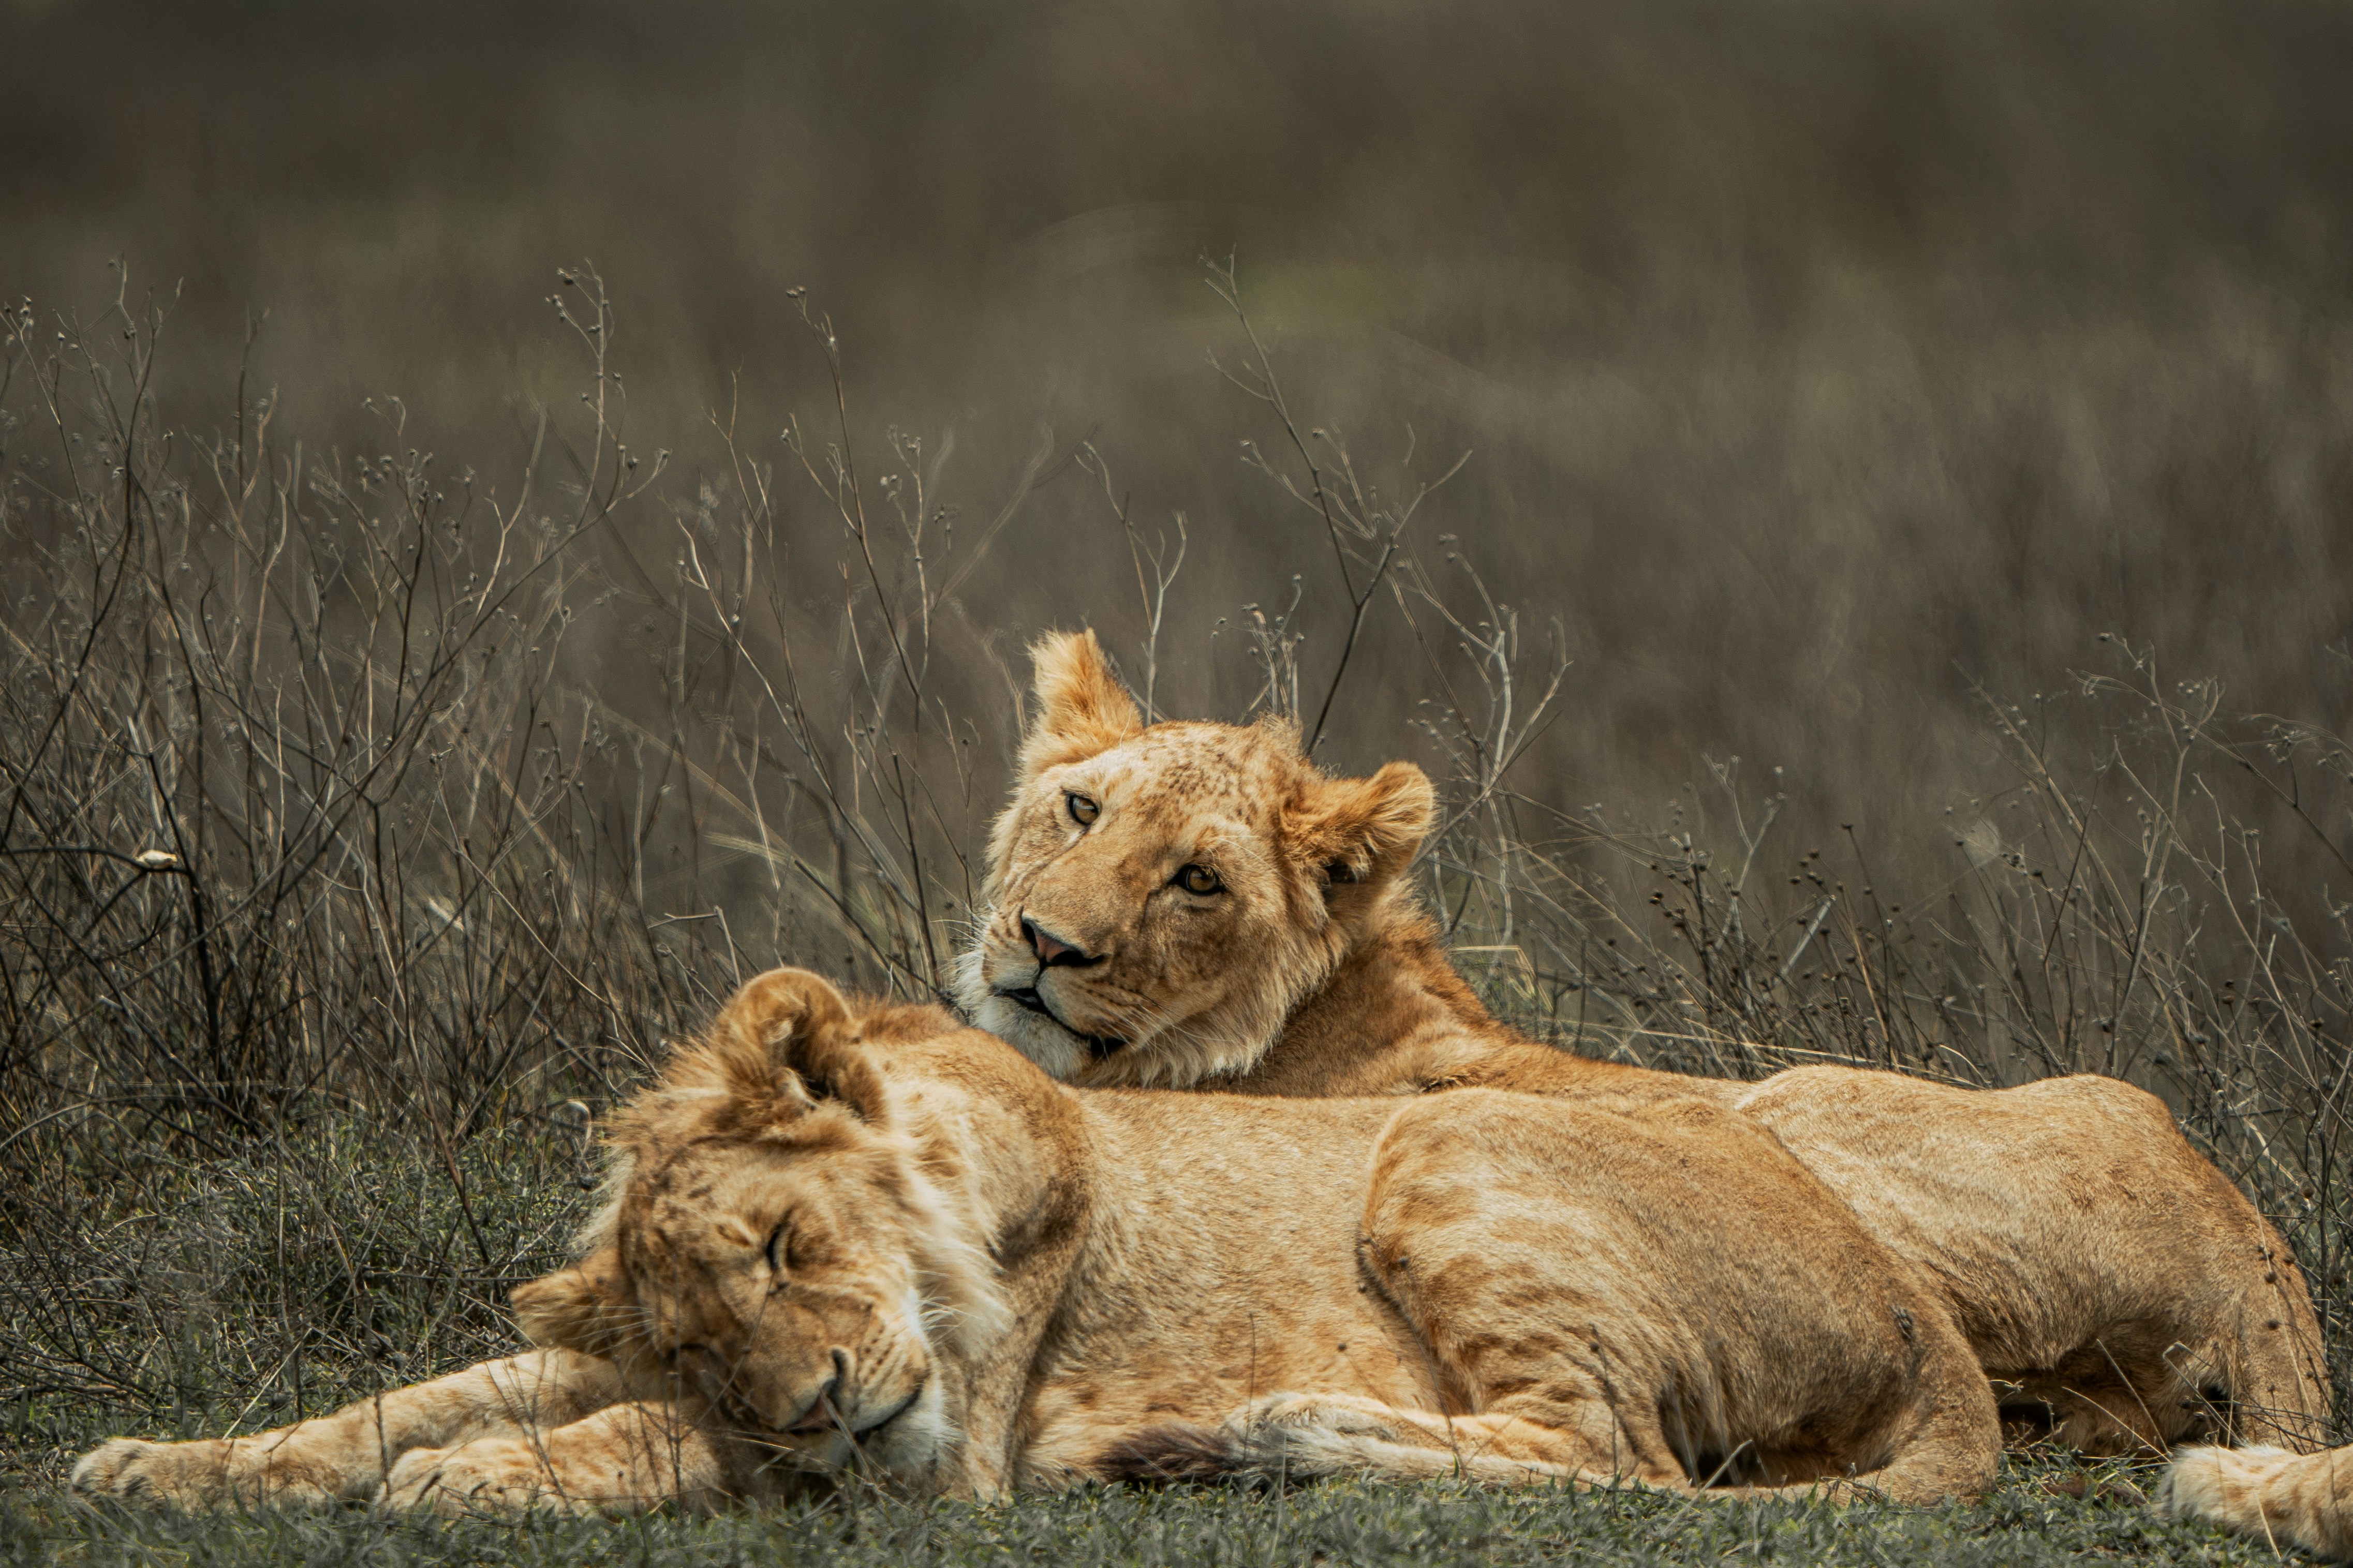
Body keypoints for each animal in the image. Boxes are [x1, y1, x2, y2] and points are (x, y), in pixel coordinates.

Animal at [75, 967, 2005, 1513]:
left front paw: (473, 1483)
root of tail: (1919, 1306)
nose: (817, 1393)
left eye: (783, 1245)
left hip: (1442, 1139)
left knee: (1614, 1455)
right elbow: (402, 1399)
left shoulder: (944, 1448)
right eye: (706, 1328)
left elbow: (644, 1443)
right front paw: (149, 1464)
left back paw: (1263, 1435)